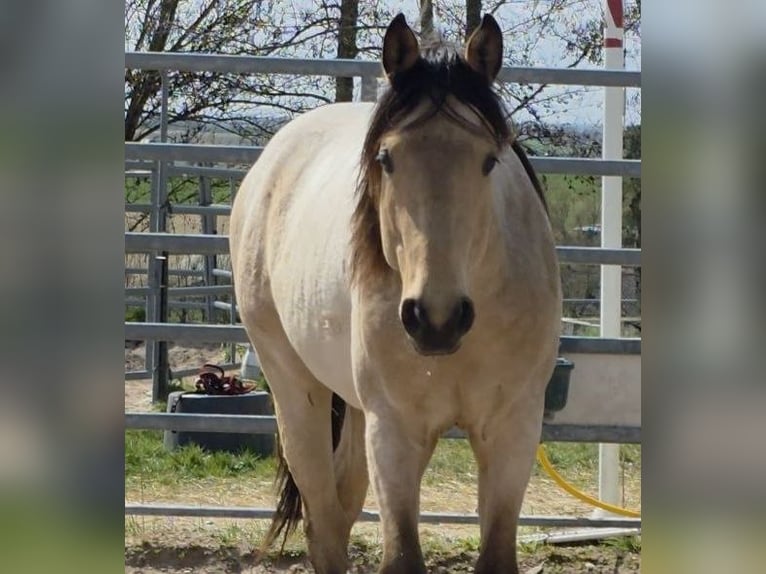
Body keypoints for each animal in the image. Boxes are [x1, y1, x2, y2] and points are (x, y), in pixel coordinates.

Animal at [229, 13, 561, 574]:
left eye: (489, 162)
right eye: (386, 159)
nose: (436, 319)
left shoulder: (513, 430)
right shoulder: (395, 433)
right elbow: (402, 555)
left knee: (341, 506)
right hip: (295, 388)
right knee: (324, 521)